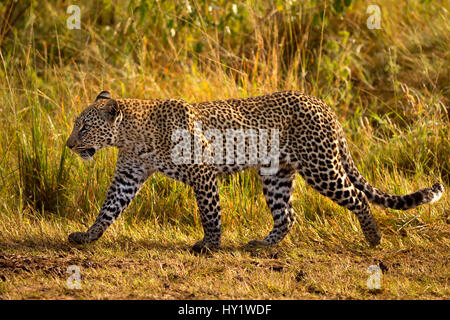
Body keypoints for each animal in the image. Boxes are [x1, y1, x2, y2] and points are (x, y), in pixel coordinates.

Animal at [65, 90, 444, 252]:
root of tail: (323, 104)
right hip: (276, 175)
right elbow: (108, 208)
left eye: (84, 127)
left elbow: (209, 213)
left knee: (357, 199)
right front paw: (88, 235)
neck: (132, 136)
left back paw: (374, 239)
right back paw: (261, 244)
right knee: (287, 215)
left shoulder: (203, 172)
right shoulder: (128, 176)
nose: (69, 145)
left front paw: (210, 244)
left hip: (321, 166)